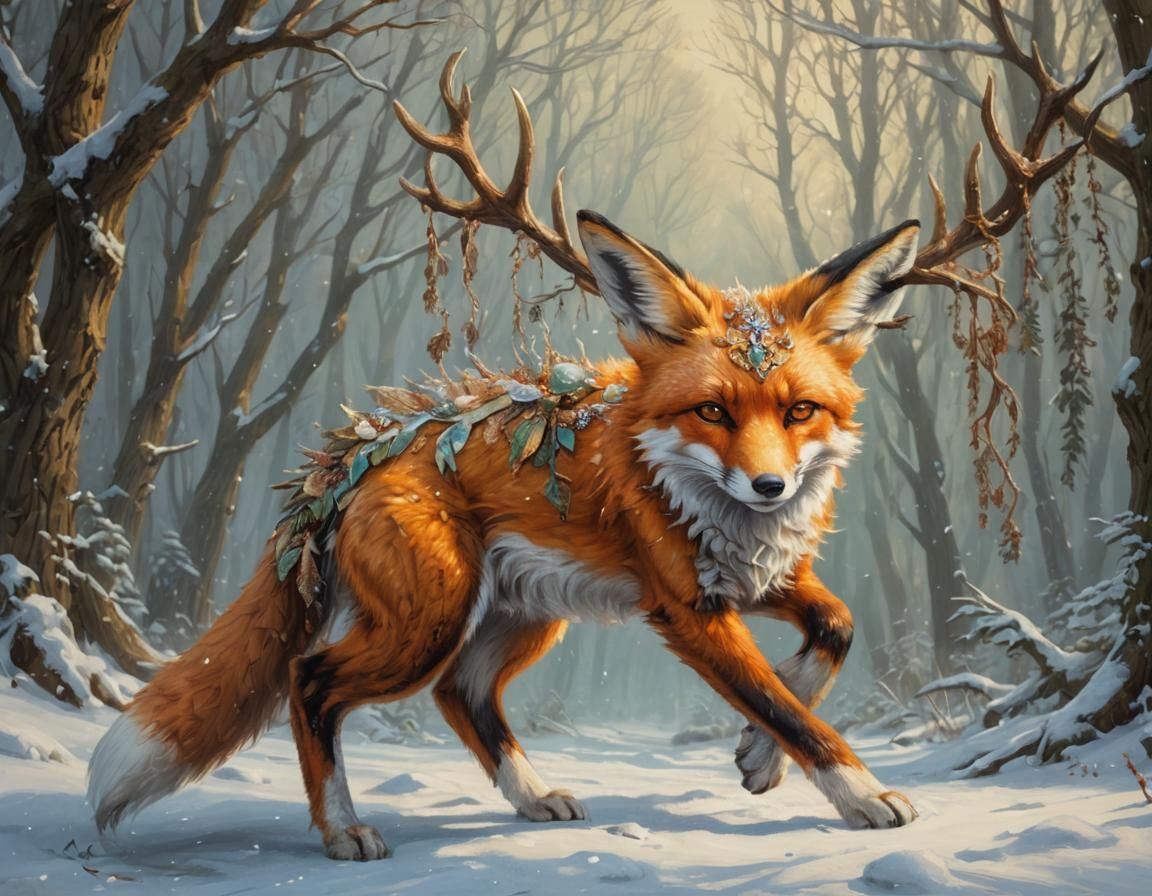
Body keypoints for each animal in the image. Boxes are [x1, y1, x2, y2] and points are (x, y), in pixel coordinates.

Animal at [89, 209, 922, 860]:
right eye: (713, 412)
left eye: (799, 411)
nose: (770, 486)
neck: (693, 491)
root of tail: (360, 451)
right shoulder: (689, 612)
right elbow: (787, 709)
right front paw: (858, 794)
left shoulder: (763, 577)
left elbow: (833, 634)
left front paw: (758, 760)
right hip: (430, 623)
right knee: (312, 679)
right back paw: (343, 831)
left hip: (523, 617)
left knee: (461, 691)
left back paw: (529, 797)